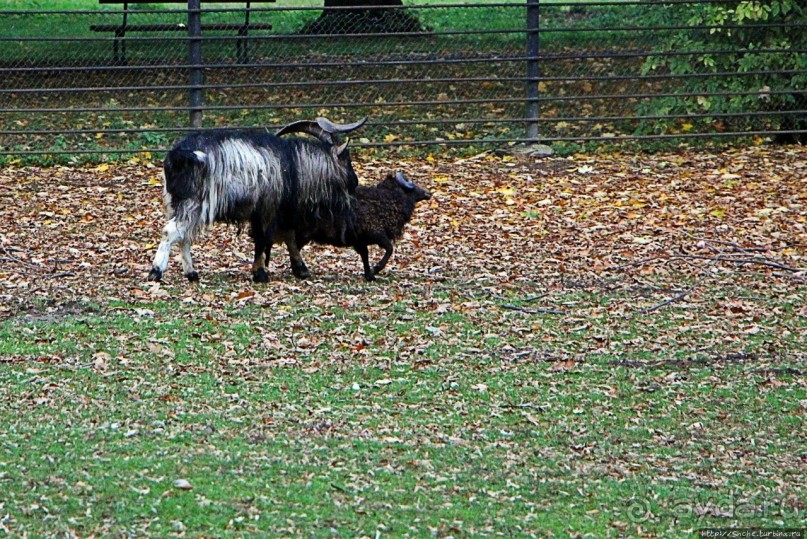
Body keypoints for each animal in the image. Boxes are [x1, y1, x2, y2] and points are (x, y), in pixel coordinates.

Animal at [147, 116, 368, 284]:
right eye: (346, 158)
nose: (355, 181)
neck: (291, 164)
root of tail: (180, 155)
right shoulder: (268, 209)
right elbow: (263, 240)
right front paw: (260, 274)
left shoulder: (272, 211)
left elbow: (287, 237)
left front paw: (300, 268)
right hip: (195, 203)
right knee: (172, 231)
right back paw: (156, 271)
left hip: (176, 202)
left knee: (184, 236)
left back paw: (191, 273)